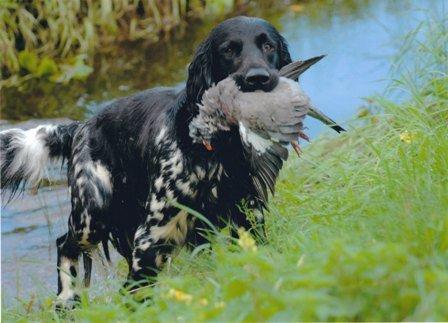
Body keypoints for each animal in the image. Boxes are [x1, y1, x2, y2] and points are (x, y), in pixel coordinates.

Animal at [0, 15, 292, 308]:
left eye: (268, 45)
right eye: (229, 50)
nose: (258, 78)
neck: (216, 149)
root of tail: (81, 127)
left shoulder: (247, 212)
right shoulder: (153, 233)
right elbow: (137, 289)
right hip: (92, 213)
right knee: (64, 244)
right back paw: (66, 299)